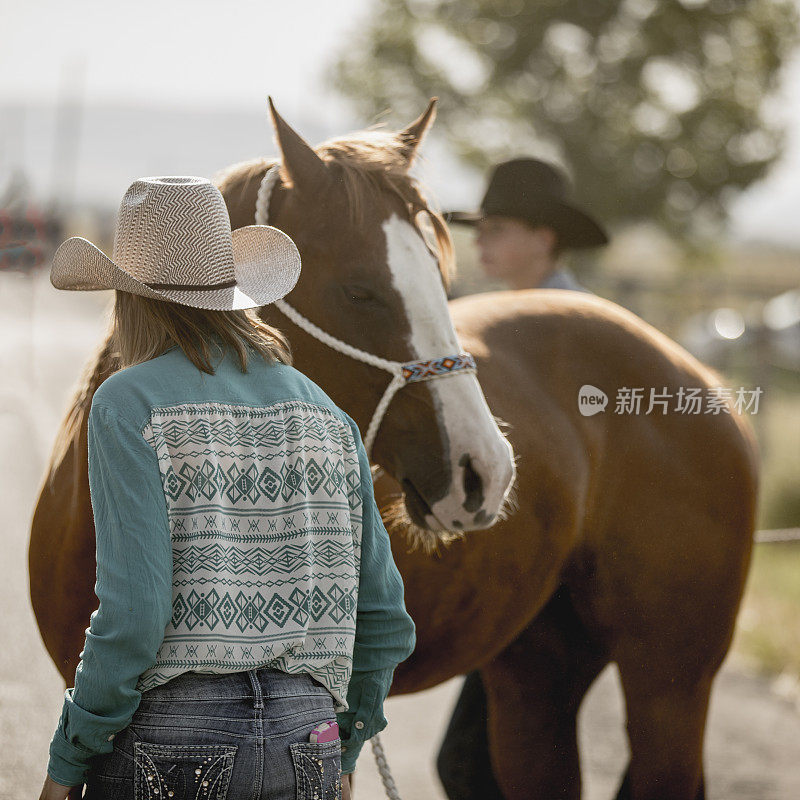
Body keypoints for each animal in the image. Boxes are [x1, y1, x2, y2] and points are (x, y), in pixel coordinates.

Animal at [31, 104, 756, 800]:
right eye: (360, 290)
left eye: (440, 278)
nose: (485, 471)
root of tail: (699, 377)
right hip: (537, 680)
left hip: (669, 686)